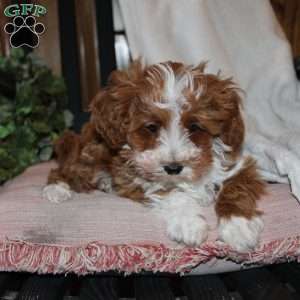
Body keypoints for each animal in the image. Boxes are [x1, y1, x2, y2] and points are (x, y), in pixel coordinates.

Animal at [42, 60, 264, 251]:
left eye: (194, 127)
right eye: (151, 127)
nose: (173, 168)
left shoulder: (236, 165)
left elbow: (236, 189)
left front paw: (239, 227)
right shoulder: (137, 177)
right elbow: (172, 193)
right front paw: (189, 223)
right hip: (91, 153)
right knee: (66, 168)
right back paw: (56, 188)